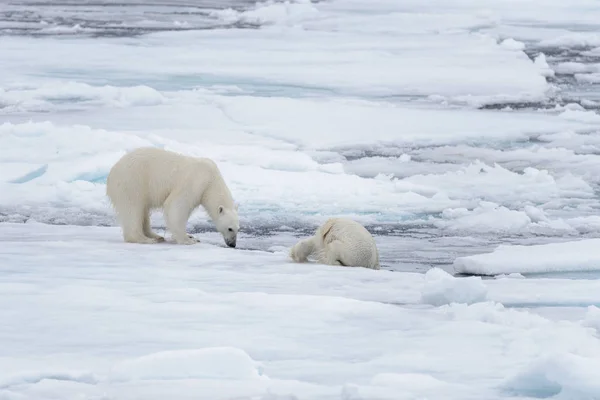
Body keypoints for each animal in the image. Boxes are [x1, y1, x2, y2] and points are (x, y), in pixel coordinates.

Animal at [105, 147, 239, 247]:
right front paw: (188, 240)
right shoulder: (195, 182)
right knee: (133, 209)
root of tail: (112, 172)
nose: (232, 244)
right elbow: (176, 206)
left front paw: (191, 235)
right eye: (230, 229)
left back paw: (156, 236)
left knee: (143, 211)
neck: (212, 180)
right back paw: (145, 239)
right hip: (132, 182)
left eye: (238, 229)